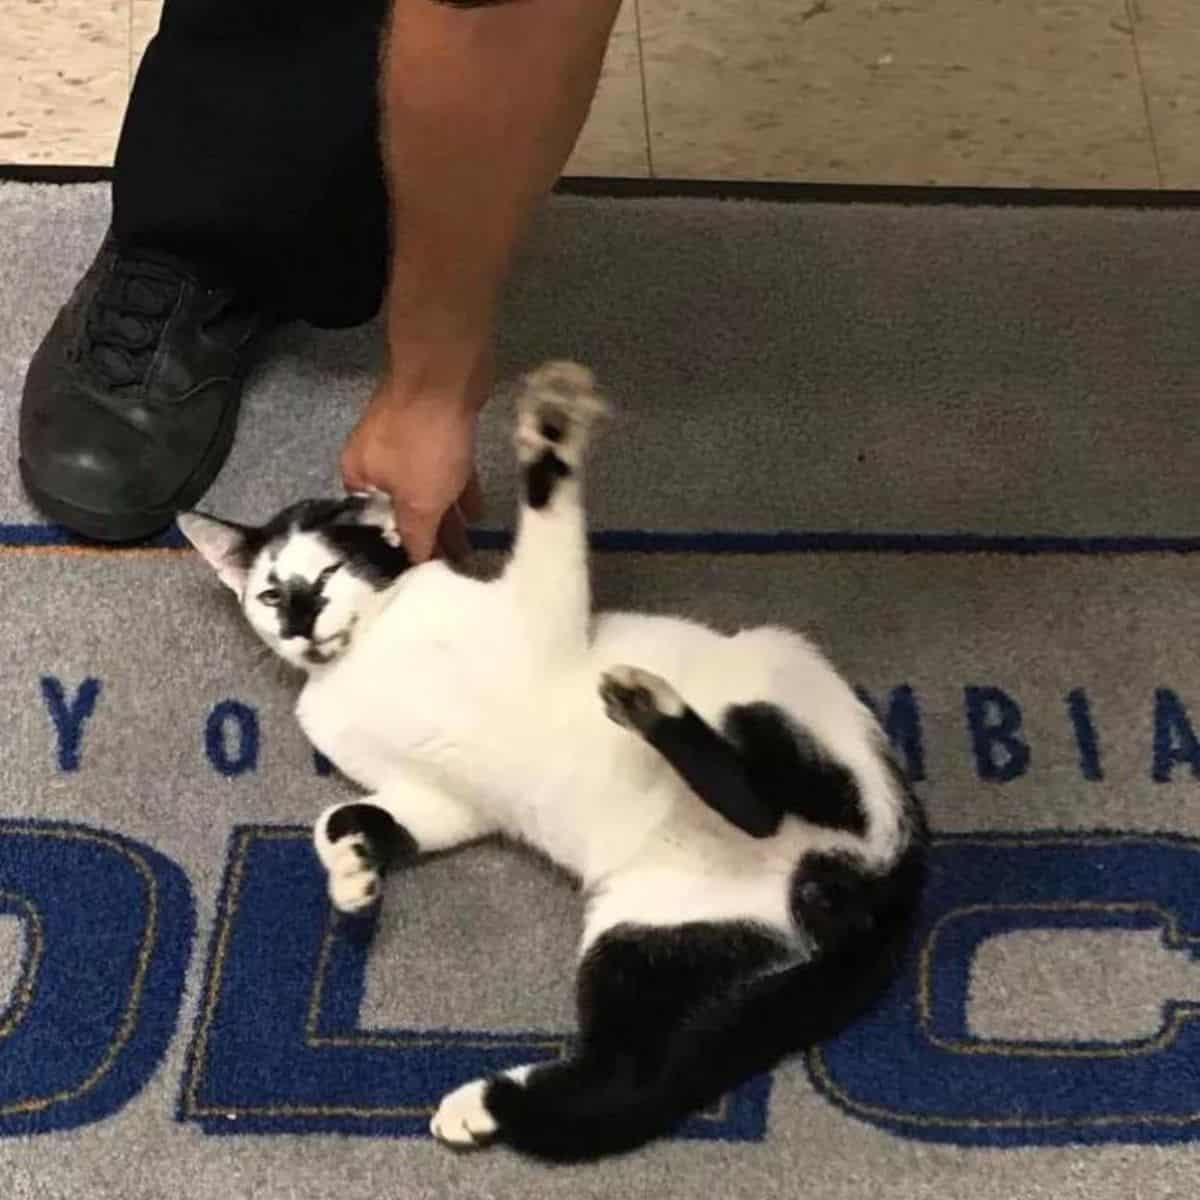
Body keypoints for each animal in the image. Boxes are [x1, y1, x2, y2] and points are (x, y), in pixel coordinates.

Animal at [177, 357, 926, 1161]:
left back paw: (650, 705)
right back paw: (486, 1106)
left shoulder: (542, 622)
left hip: (775, 679)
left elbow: (545, 532)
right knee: (627, 1075)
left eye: (325, 577)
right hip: (650, 937)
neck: (365, 658)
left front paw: (550, 434)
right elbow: (342, 816)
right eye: (269, 594)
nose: (299, 624)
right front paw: (352, 875)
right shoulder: (443, 798)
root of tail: (879, 884)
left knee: (766, 795)